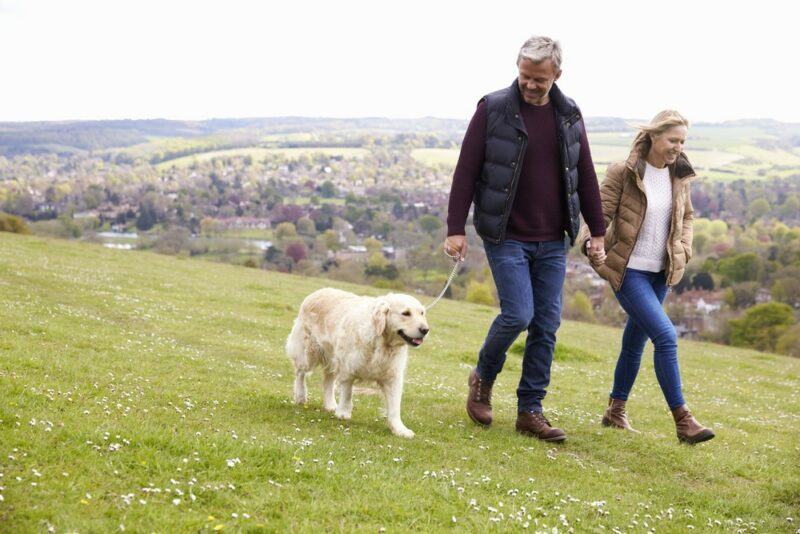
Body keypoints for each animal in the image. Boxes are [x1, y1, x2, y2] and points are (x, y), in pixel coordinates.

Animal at [284, 288, 428, 440]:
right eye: (406, 313)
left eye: (422, 313)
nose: (425, 330)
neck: (382, 343)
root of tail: (317, 292)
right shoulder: (348, 368)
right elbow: (347, 393)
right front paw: (343, 413)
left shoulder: (393, 377)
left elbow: (395, 407)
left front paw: (400, 429)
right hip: (308, 352)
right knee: (300, 373)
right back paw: (301, 396)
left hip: (332, 357)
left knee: (328, 380)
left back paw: (330, 404)